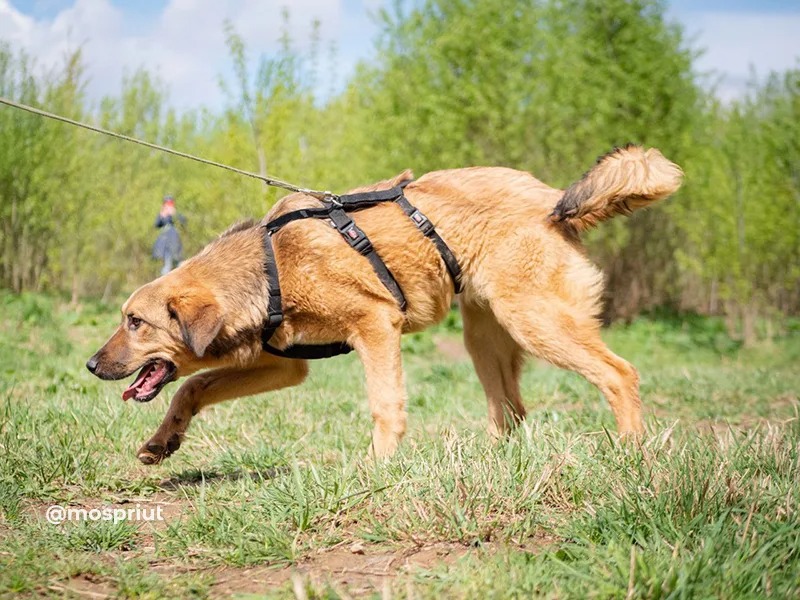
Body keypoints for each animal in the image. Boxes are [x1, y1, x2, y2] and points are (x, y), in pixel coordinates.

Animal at [90, 145, 684, 464]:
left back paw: (632, 453)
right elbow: (191, 387)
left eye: (135, 322)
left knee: (619, 373)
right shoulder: (285, 367)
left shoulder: (375, 326)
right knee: (511, 410)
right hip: (485, 338)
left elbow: (384, 404)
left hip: (535, 320)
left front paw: (376, 467)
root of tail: (552, 201)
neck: (270, 266)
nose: (92, 365)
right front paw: (162, 441)